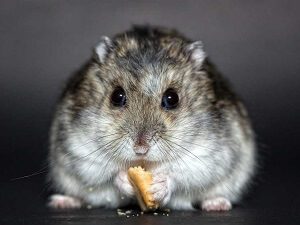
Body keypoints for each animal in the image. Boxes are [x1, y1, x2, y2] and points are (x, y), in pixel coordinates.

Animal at [47, 26, 255, 211]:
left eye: (172, 98)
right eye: (117, 96)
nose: (141, 149)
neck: (146, 164)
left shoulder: (208, 156)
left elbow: (181, 175)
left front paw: (158, 186)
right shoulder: (81, 152)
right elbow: (108, 175)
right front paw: (125, 179)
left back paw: (217, 204)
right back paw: (62, 201)